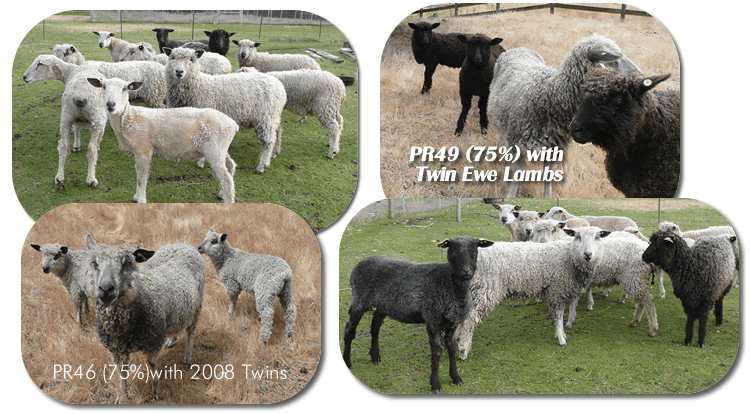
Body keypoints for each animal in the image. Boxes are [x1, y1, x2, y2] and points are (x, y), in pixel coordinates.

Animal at [22, 54, 107, 186]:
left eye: (40, 64)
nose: (24, 77)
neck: (70, 71)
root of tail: (80, 94)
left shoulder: (75, 118)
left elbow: (76, 128)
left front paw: (76, 146)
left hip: (66, 115)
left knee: (62, 145)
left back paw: (59, 177)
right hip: (98, 118)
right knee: (91, 149)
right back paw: (91, 179)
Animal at [86, 236, 206, 404]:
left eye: (127, 263)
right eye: (94, 263)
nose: (106, 289)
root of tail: (182, 244)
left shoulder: (154, 341)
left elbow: (152, 364)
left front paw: (155, 388)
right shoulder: (115, 347)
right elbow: (121, 370)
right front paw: (122, 394)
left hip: (196, 307)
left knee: (190, 332)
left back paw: (187, 359)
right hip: (177, 311)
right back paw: (171, 340)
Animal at [87, 77, 238, 203]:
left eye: (125, 88)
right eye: (103, 86)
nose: (110, 104)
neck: (128, 118)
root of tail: (232, 124)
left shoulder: (143, 149)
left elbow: (141, 177)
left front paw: (140, 200)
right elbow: (138, 175)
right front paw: (136, 197)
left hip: (214, 150)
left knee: (226, 180)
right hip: (220, 148)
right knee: (230, 166)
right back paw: (221, 194)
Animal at [342, 237, 494, 394]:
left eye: (475, 249)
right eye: (452, 249)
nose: (466, 271)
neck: (449, 284)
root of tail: (359, 264)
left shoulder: (452, 322)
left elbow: (451, 348)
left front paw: (456, 377)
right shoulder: (432, 319)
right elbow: (437, 352)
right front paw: (435, 385)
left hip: (383, 305)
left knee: (375, 327)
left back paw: (375, 357)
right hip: (359, 300)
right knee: (349, 330)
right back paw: (348, 362)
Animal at [487, 34, 642, 198]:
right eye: (613, 60)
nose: (640, 75)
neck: (551, 96)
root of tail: (520, 48)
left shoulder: (554, 147)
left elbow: (548, 176)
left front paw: (547, 198)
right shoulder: (517, 142)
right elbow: (516, 176)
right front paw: (510, 196)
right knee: (500, 134)